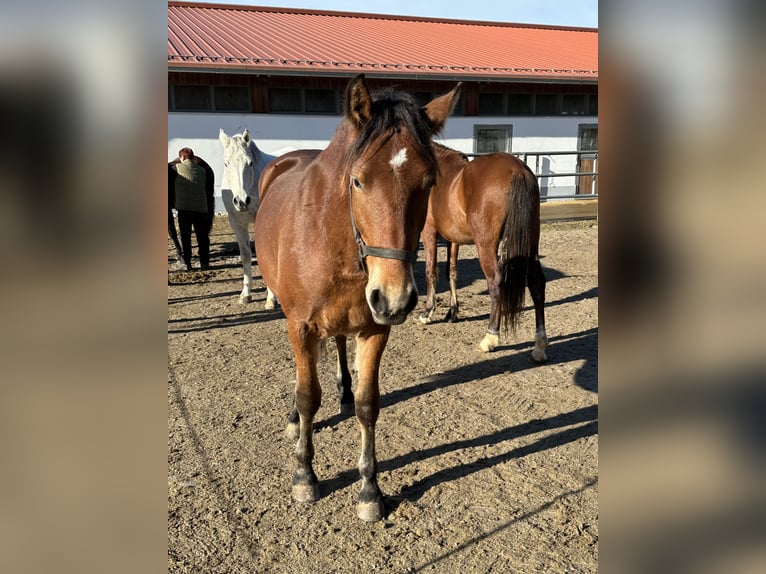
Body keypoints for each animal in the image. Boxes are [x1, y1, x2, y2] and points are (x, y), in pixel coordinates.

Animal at [219, 127, 280, 304]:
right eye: (226, 163)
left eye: (250, 163)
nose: (241, 201)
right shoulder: (236, 222)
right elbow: (245, 255)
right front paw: (246, 294)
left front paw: (271, 298)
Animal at [416, 144, 548, 362]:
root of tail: (518, 170)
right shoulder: (453, 239)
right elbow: (451, 271)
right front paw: (453, 312)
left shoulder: (429, 232)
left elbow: (431, 271)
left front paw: (427, 313)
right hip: (531, 243)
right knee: (537, 283)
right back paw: (539, 346)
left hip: (486, 245)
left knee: (496, 281)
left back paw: (490, 337)